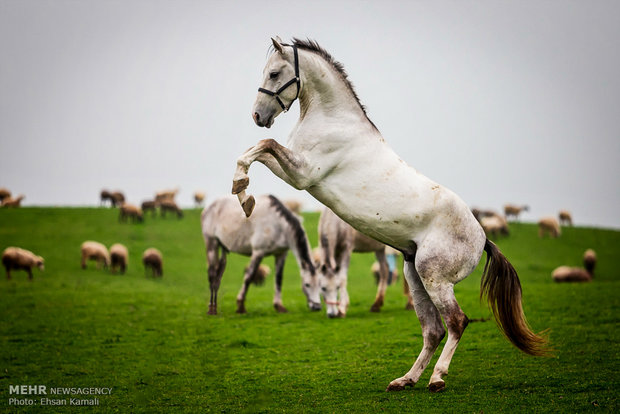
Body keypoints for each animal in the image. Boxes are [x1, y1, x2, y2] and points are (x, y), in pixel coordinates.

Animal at [231, 38, 548, 392]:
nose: (258, 115)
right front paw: (243, 194)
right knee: (433, 330)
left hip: (434, 277)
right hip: (415, 276)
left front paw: (243, 193)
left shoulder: (302, 175)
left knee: (456, 322)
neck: (333, 120)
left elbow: (263, 145)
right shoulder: (296, 171)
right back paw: (406, 379)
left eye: (274, 73)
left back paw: (437, 378)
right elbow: (257, 149)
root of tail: (483, 238)